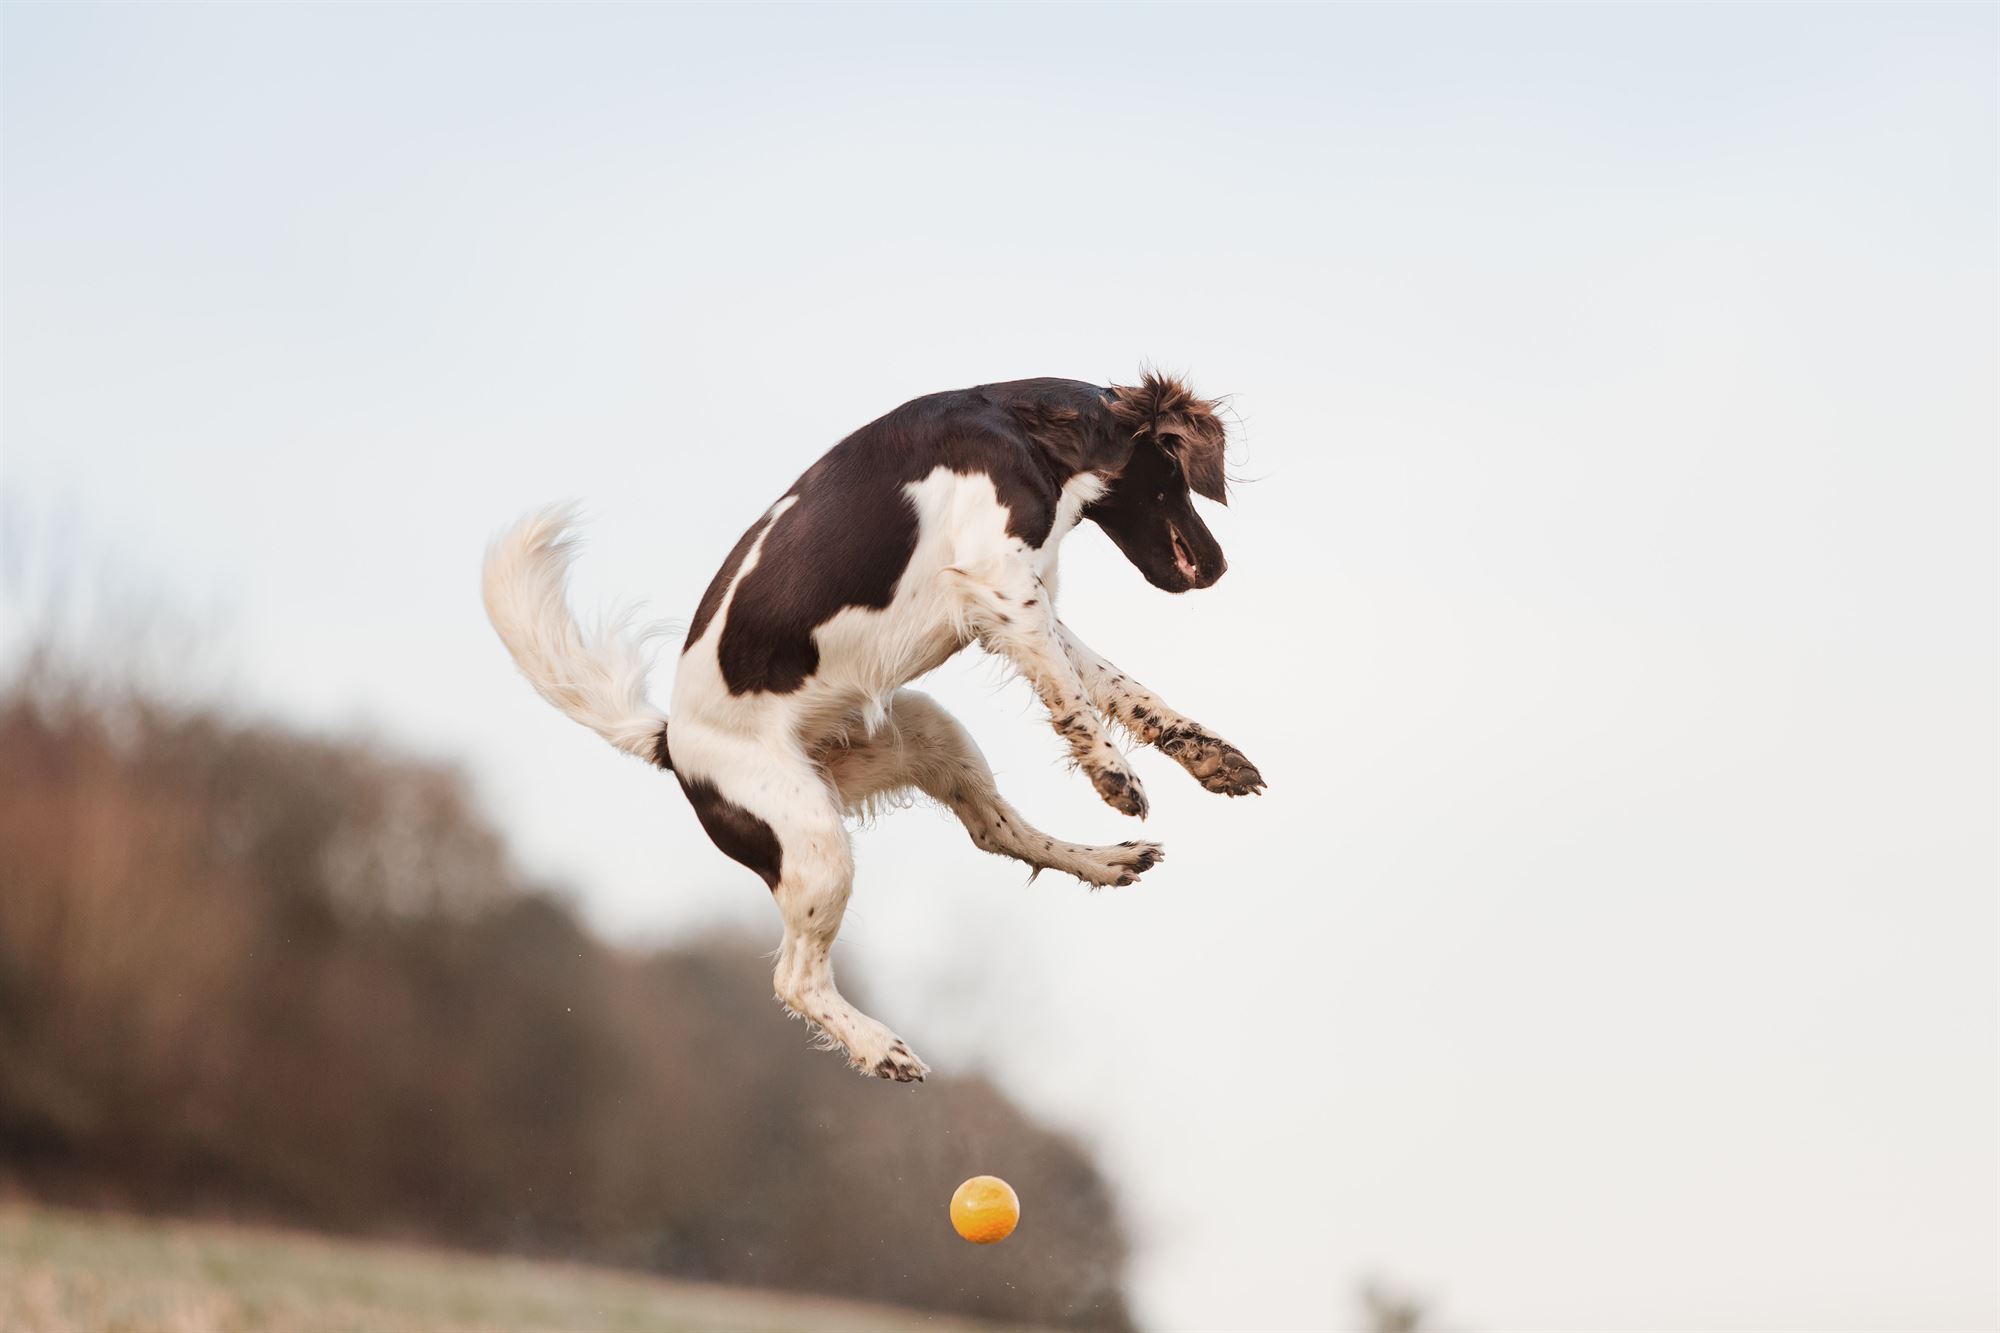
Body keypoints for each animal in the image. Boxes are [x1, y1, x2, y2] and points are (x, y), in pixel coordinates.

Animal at [484, 368, 1264, 1072]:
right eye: (1179, 478)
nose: (1223, 567)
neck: (1029, 429)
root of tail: (670, 742)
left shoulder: (1019, 602)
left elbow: (1120, 689)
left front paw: (1210, 757)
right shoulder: (1001, 586)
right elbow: (1077, 700)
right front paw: (1114, 775)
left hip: (926, 731)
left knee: (996, 831)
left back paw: (1108, 861)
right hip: (815, 843)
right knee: (793, 979)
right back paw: (879, 1047)